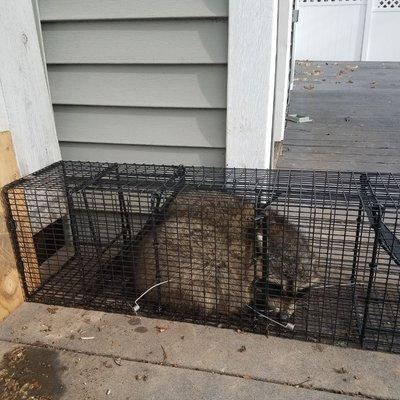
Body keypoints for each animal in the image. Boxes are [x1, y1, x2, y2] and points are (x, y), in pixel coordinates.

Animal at [133, 188, 320, 322]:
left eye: (300, 293)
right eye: (275, 288)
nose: (285, 317)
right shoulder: (240, 255)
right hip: (177, 251)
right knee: (215, 259)